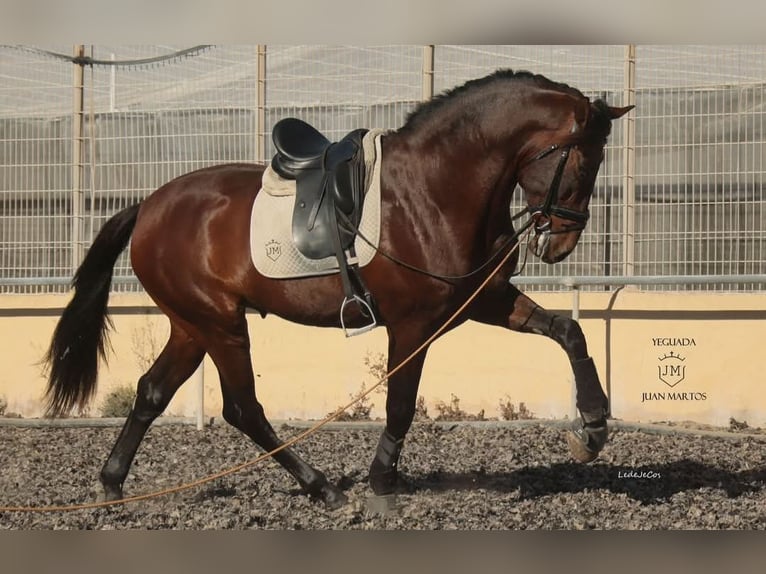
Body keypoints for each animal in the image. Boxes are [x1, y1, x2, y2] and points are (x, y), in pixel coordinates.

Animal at [46, 70, 636, 510]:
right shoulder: (413, 325)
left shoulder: (485, 300)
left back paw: (113, 484)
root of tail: (148, 206)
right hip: (220, 324)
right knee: (243, 408)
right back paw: (321, 487)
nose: (560, 245)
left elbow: (570, 331)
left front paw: (592, 428)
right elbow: (400, 404)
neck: (435, 189)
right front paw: (381, 483)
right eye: (582, 160)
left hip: (193, 326)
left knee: (152, 392)